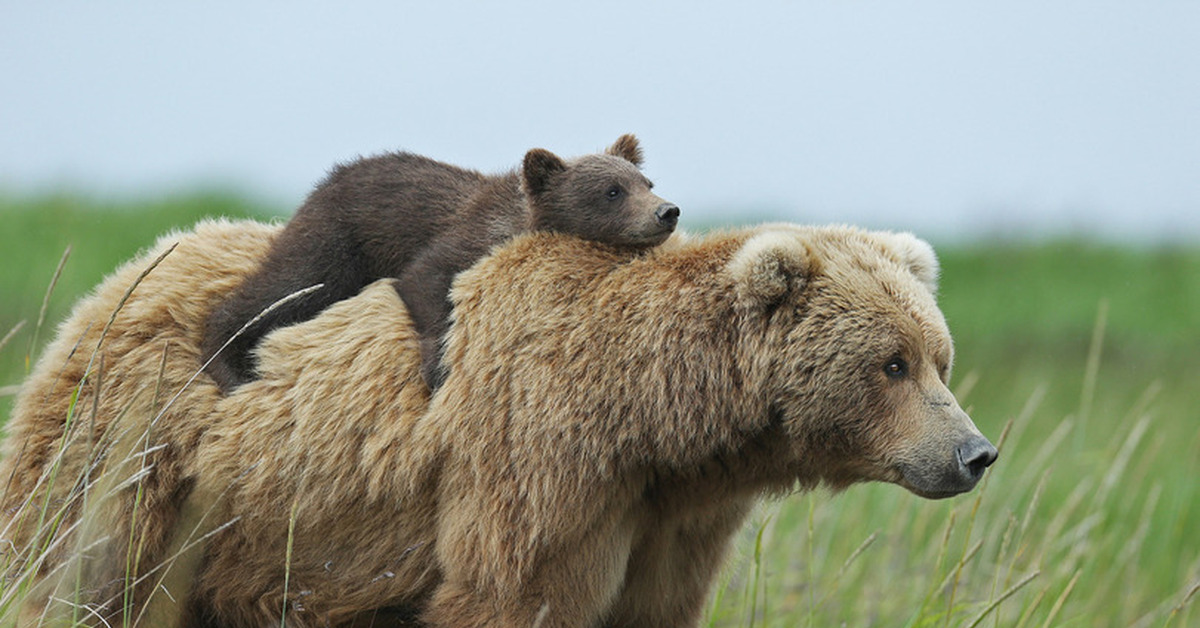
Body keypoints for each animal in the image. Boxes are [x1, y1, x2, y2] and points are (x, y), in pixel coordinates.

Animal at [0, 218, 993, 624]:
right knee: (76, 577)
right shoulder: (538, 465)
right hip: (136, 455)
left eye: (938, 356)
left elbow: (650, 606)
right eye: (892, 363)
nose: (975, 452)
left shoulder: (671, 521)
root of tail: (119, 278)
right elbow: (510, 595)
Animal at [201, 135, 681, 393]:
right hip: (337, 239)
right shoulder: (462, 239)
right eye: (612, 191)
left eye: (646, 181)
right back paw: (227, 363)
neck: (517, 220)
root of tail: (328, 179)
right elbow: (426, 280)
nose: (667, 211)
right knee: (286, 287)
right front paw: (438, 367)